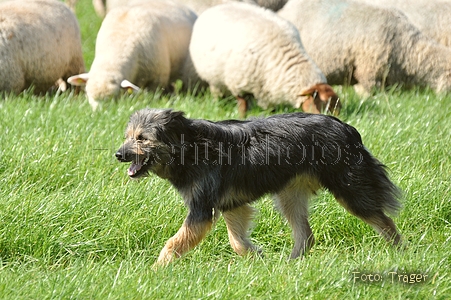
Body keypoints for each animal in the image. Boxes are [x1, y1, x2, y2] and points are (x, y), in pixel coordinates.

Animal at [115, 108, 402, 264]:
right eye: (128, 137)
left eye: (142, 138)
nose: (118, 154)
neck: (190, 146)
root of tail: (346, 127)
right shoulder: (231, 205)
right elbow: (237, 242)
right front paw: (257, 258)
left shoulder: (201, 210)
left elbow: (174, 243)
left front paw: (156, 271)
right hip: (288, 195)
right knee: (306, 236)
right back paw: (290, 265)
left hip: (350, 190)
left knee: (385, 222)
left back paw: (399, 253)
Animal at [189, 2, 340, 117]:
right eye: (322, 103)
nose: (336, 119)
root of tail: (220, 5)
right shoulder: (238, 83)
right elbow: (242, 106)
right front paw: (242, 118)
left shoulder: (269, 88)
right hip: (214, 78)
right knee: (217, 92)